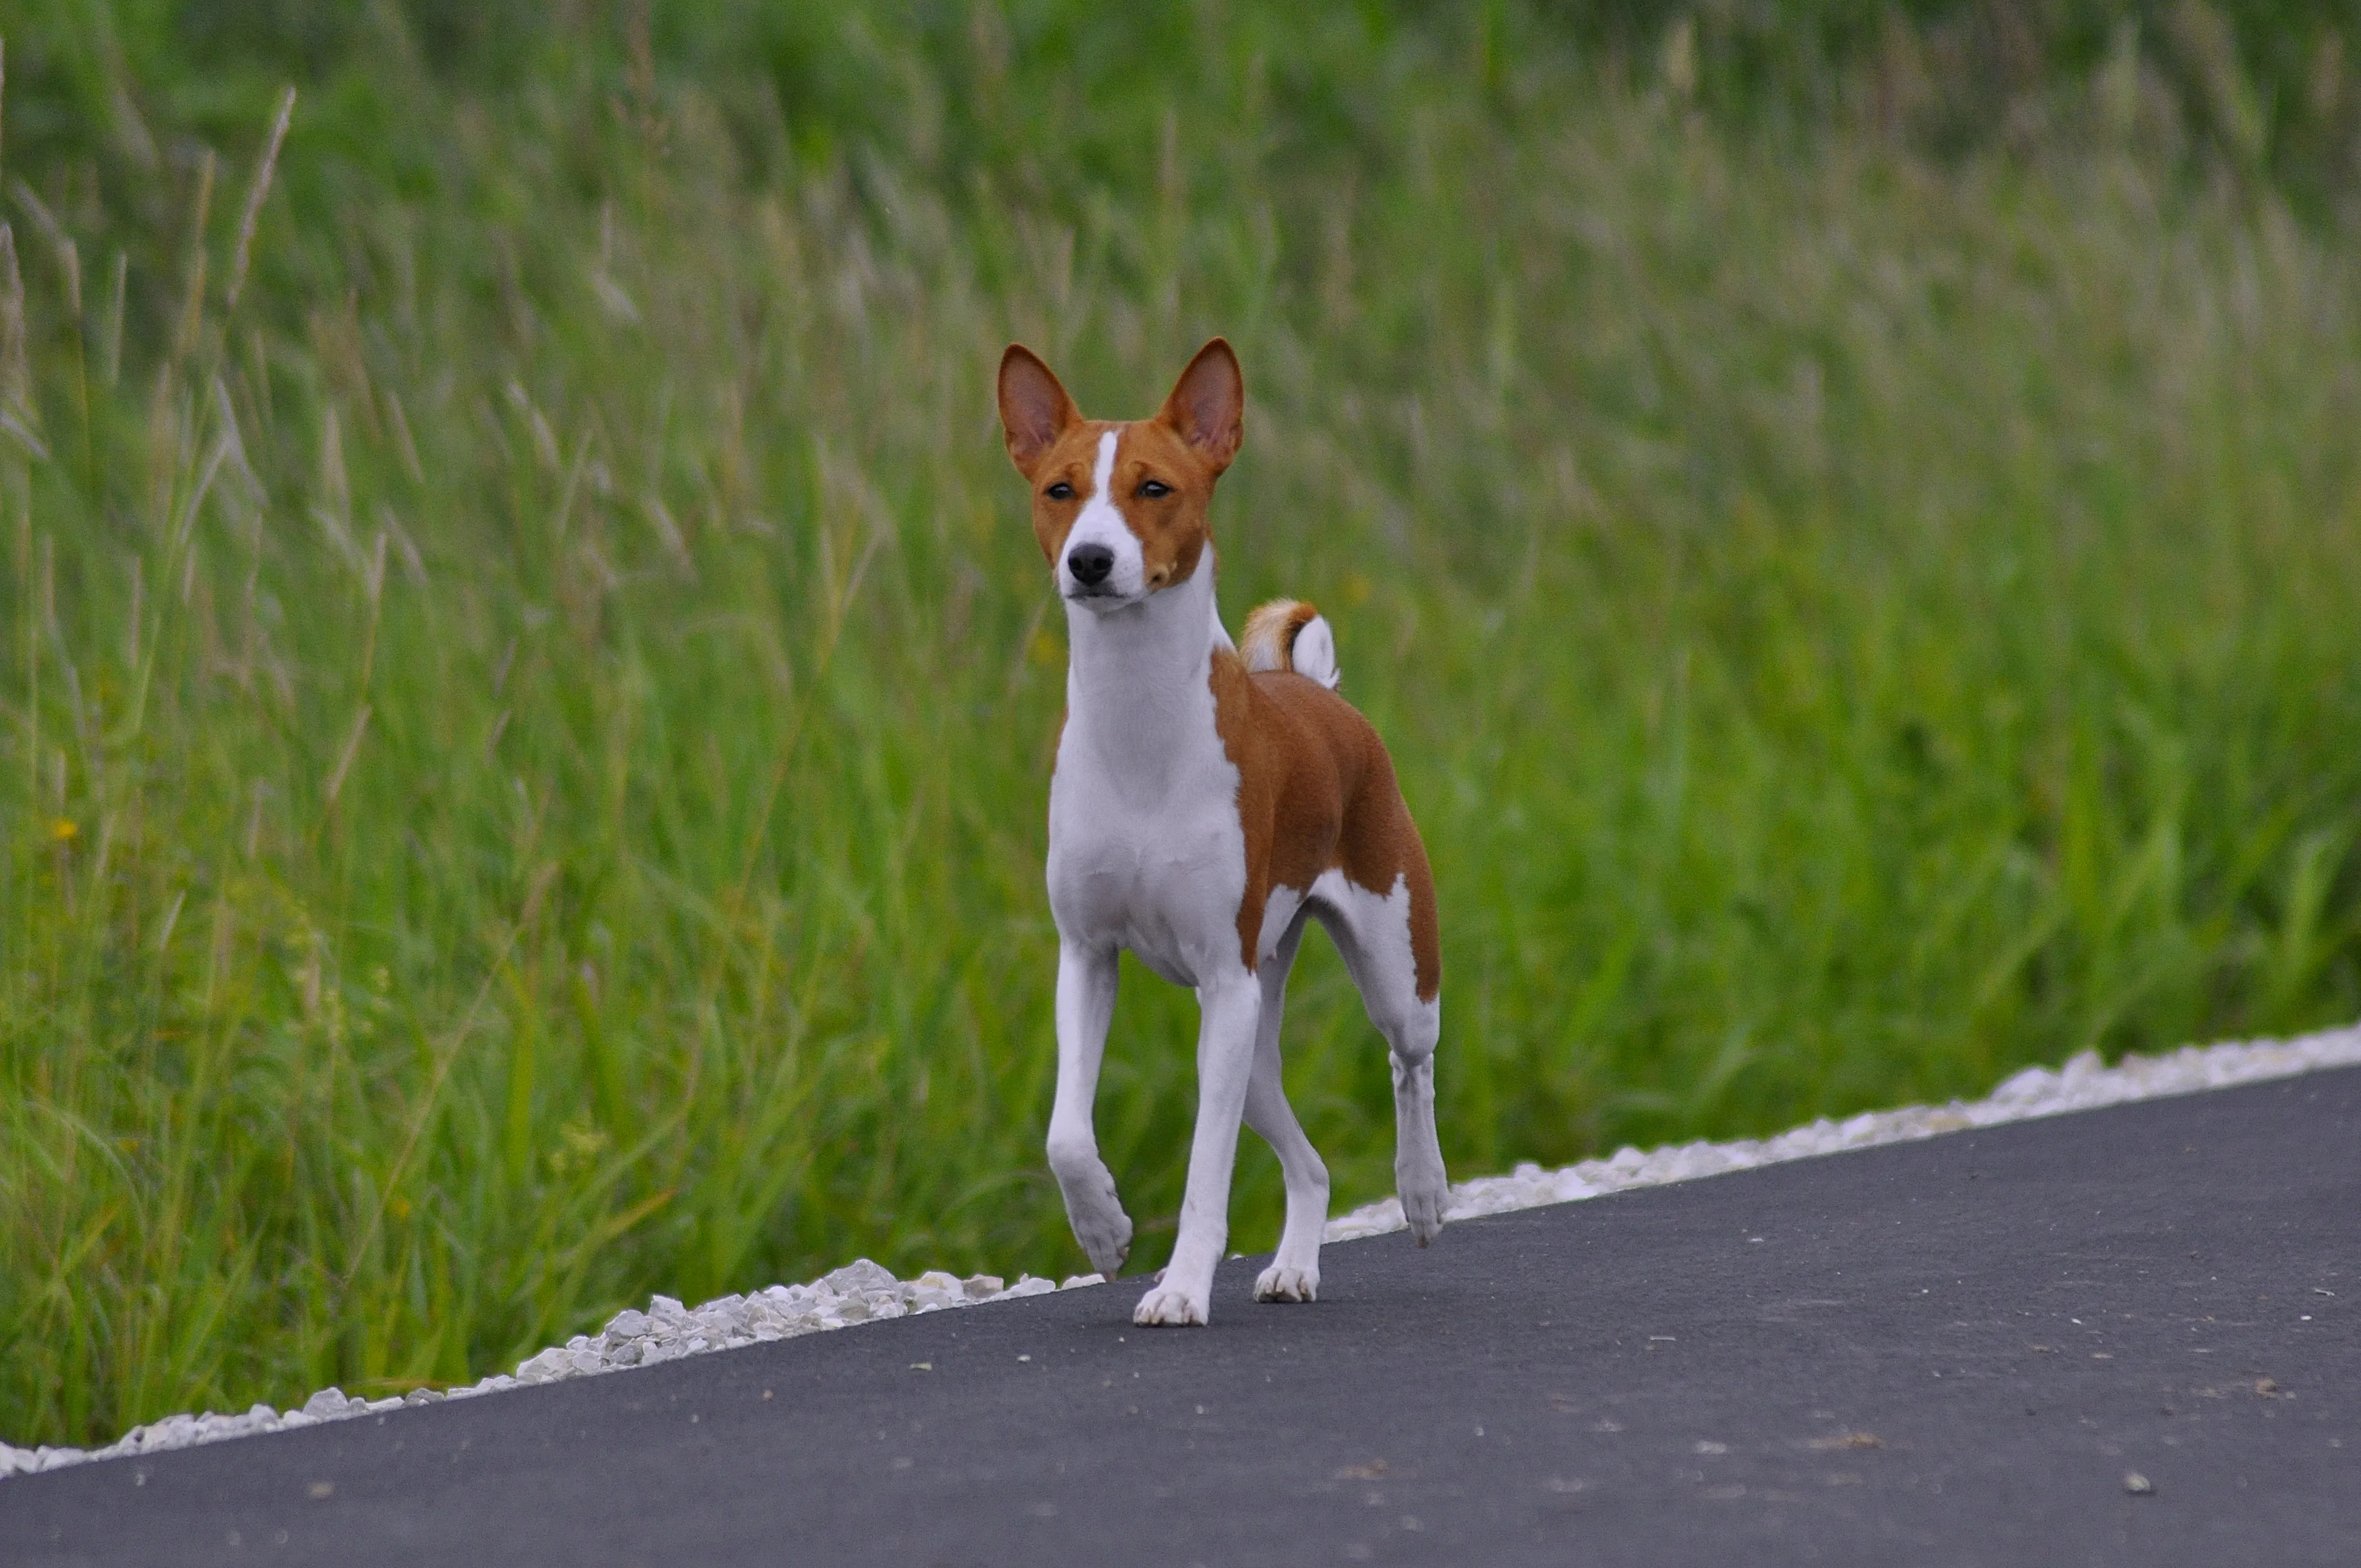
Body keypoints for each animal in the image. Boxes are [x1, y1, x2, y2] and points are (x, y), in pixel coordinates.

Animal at [991, 340, 1445, 1322]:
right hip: (1253, 1032)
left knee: (1410, 1065)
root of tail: (1315, 692)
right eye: (1059, 490)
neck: (1140, 733)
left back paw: (1424, 1192)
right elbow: (1066, 1137)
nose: (1090, 560)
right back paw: (1295, 1266)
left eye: (1155, 488)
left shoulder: (1221, 984)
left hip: (1384, 972)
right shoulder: (1088, 958)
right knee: (1310, 1165)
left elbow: (1205, 1169)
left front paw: (1182, 1287)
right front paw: (1104, 1231)